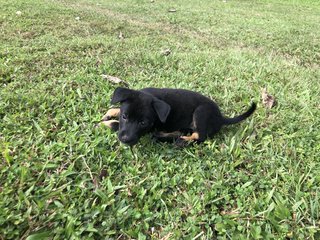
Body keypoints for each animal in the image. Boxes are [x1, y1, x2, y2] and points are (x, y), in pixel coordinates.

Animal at [101, 87, 256, 146]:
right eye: (125, 116)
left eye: (143, 123)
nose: (125, 140)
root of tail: (221, 117)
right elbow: (115, 108)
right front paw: (109, 114)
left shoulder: (150, 128)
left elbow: (115, 125)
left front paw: (104, 124)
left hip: (201, 112)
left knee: (200, 136)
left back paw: (181, 140)